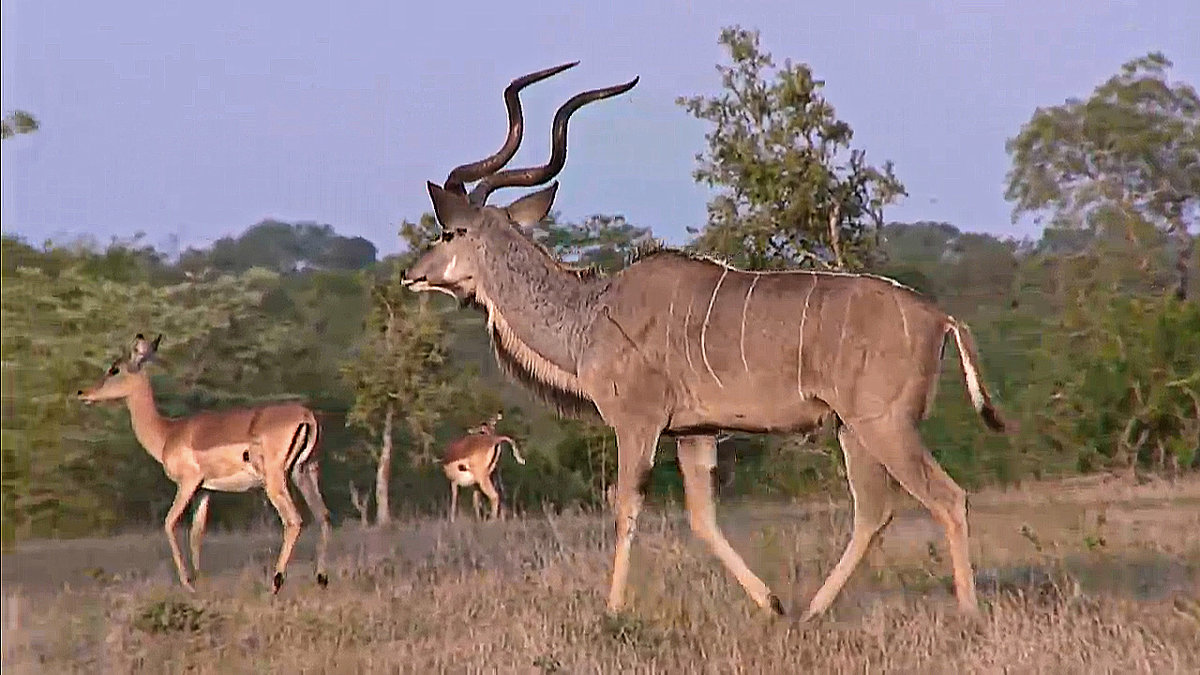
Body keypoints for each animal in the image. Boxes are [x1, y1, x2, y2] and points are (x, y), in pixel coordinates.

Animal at [76, 333, 331, 590]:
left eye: (114, 369)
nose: (82, 393)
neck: (168, 433)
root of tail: (307, 416)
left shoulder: (187, 483)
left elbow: (169, 523)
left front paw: (187, 582)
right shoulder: (205, 490)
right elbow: (196, 533)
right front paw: (199, 580)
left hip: (275, 480)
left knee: (294, 520)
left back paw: (276, 582)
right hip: (304, 472)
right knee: (323, 515)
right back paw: (321, 578)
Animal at [398, 65, 1008, 619]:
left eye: (449, 232)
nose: (410, 275)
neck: (591, 312)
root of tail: (941, 318)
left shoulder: (638, 423)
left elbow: (626, 507)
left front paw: (613, 611)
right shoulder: (694, 433)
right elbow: (702, 517)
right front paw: (771, 604)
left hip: (884, 425)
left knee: (946, 498)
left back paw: (968, 614)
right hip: (853, 430)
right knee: (874, 512)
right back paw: (811, 612)